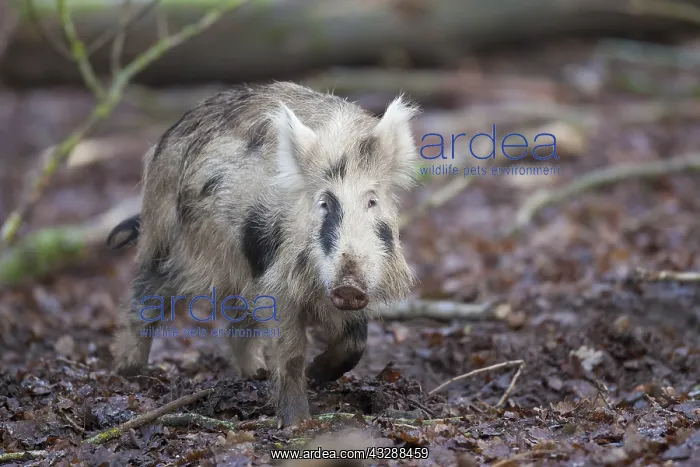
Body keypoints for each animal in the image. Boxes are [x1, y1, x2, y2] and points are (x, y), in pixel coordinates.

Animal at [108, 81, 420, 427]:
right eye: (324, 202)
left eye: (372, 201)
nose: (348, 284)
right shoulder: (277, 283)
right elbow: (291, 352)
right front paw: (298, 423)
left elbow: (355, 342)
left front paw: (316, 375)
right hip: (167, 244)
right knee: (143, 301)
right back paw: (130, 374)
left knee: (236, 324)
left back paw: (254, 375)